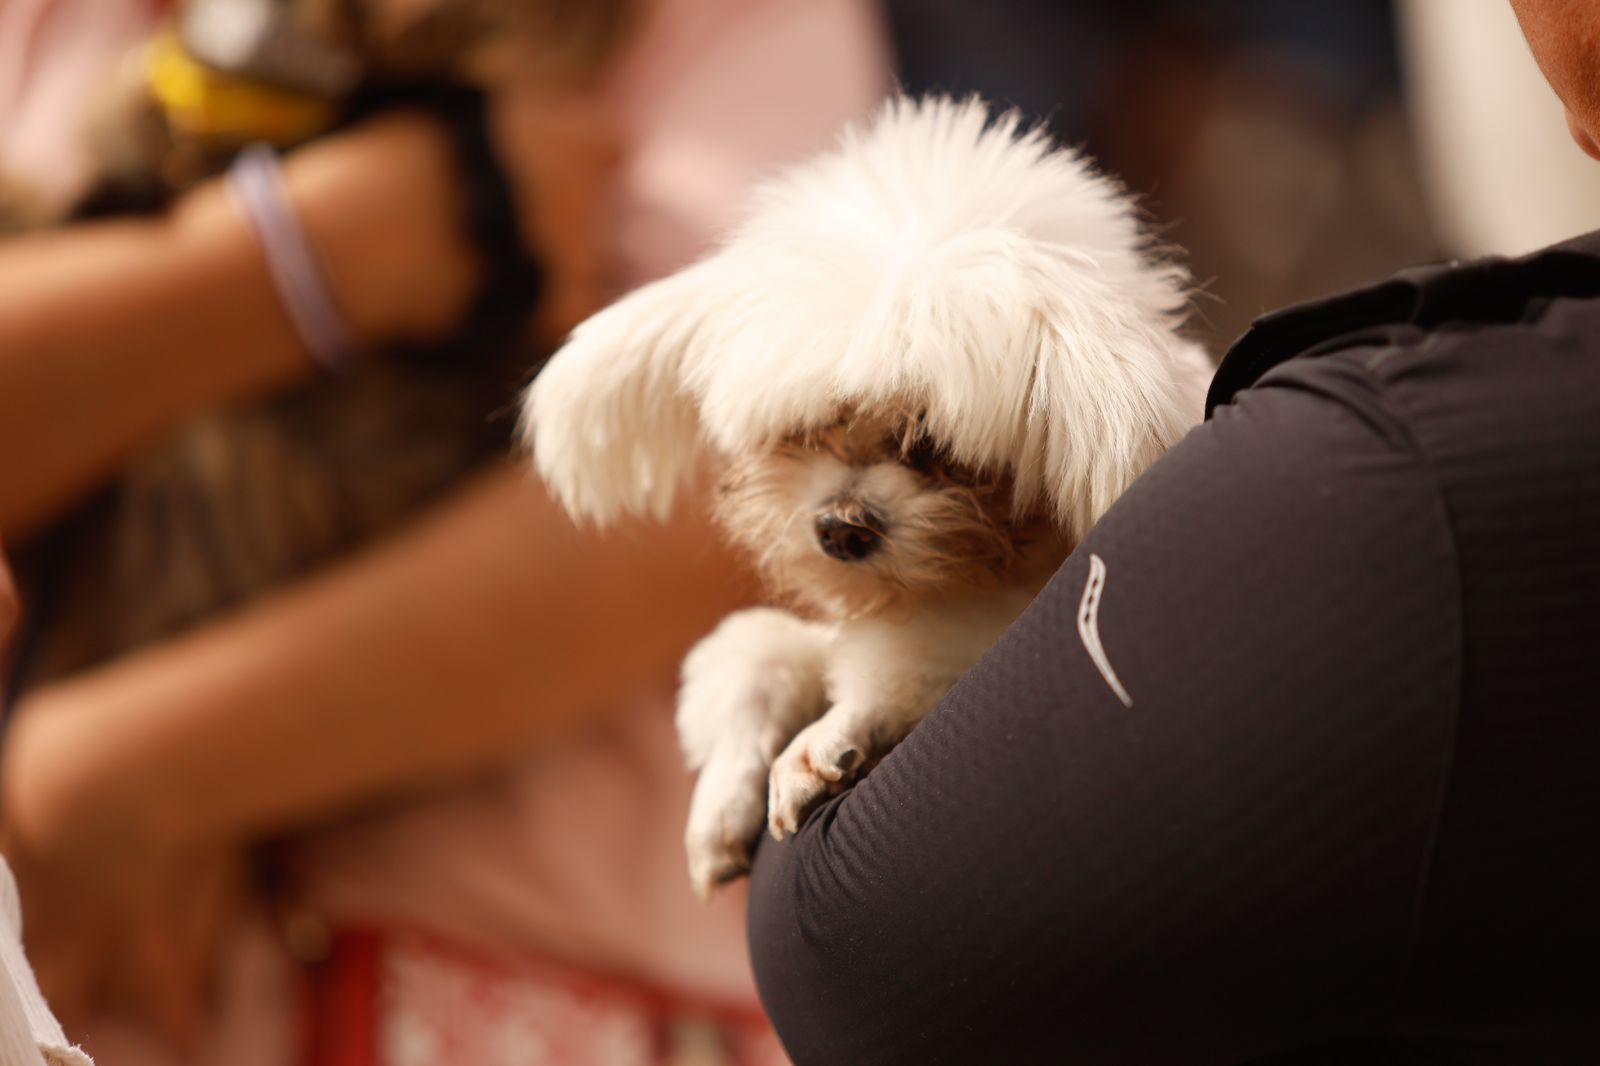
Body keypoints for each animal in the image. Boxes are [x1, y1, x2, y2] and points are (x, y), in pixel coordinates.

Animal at [518, 97, 1203, 896]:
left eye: (933, 447)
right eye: (805, 428)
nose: (840, 528)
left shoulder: (956, 633)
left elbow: (896, 671)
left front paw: (824, 742)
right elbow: (759, 658)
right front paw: (723, 800)